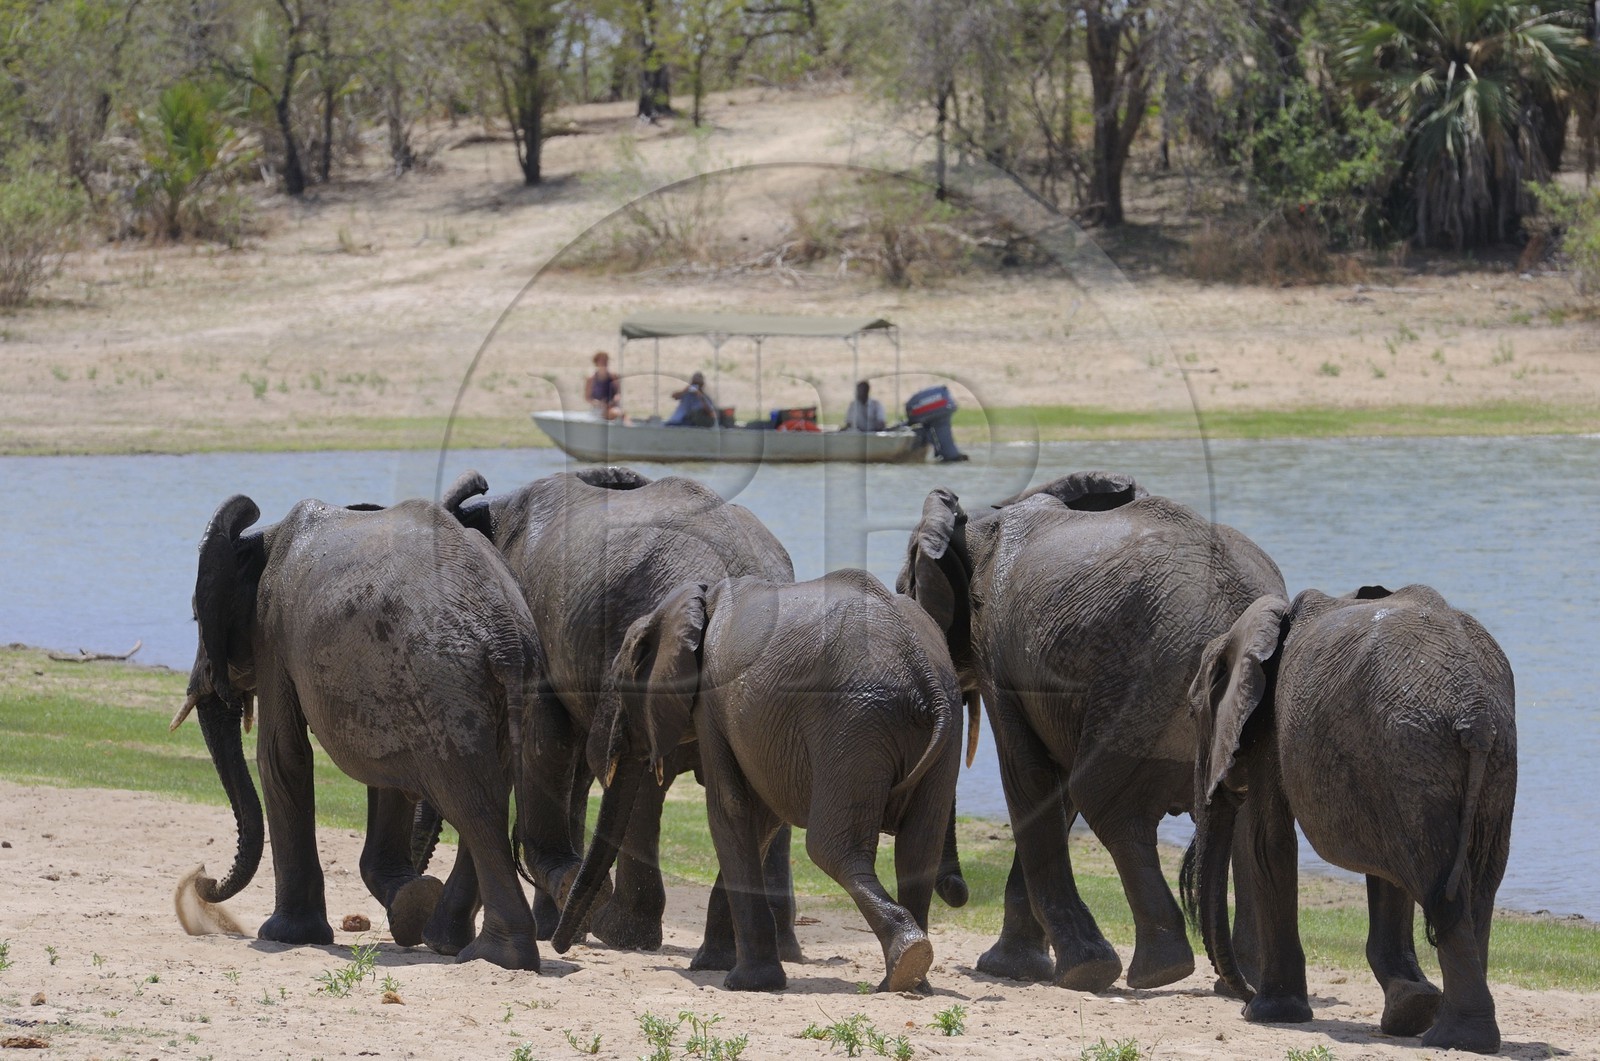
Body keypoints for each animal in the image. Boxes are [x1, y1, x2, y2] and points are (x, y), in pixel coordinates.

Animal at [174, 480, 543, 970]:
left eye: (198, 616)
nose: (200, 876)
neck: (262, 537)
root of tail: (505, 637)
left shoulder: (272, 631)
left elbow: (281, 755)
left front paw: (286, 936)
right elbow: (386, 773)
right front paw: (408, 904)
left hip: (442, 686)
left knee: (474, 806)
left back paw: (494, 956)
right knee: (487, 796)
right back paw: (450, 942)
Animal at [552, 570, 970, 993]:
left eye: (620, 683)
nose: (560, 946)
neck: (698, 601)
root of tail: (921, 668)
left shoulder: (713, 704)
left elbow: (730, 808)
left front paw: (745, 981)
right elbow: (760, 820)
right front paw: (713, 966)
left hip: (855, 723)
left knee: (832, 849)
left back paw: (908, 960)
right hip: (940, 728)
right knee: (918, 849)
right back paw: (908, 981)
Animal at [897, 471, 1286, 992]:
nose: (957, 891)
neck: (978, 520)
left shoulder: (998, 649)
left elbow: (1030, 778)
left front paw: (1072, 970)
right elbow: (1054, 791)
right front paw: (1015, 968)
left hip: (1147, 682)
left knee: (1106, 800)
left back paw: (1156, 972)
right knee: (1239, 818)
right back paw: (1240, 981)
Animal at [1182, 585, 1517, 1054]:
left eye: (1194, 713)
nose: (1240, 995)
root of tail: (1476, 713)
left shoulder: (1270, 725)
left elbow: (1269, 843)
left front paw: (1267, 1014)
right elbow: (1384, 872)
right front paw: (1409, 1008)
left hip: (1413, 755)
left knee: (1439, 882)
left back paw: (1455, 1038)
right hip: (1472, 763)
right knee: (1473, 885)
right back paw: (1449, 1029)